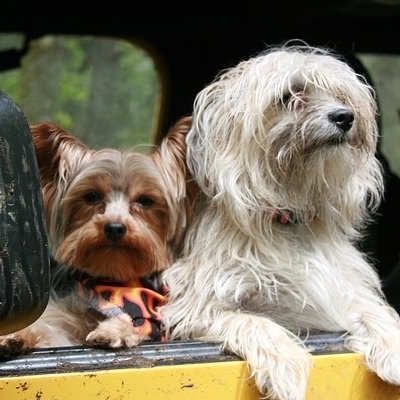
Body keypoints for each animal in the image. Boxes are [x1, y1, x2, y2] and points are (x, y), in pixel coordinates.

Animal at [160, 42, 400, 398]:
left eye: (341, 95)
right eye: (290, 96)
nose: (345, 116)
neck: (290, 216)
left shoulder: (339, 290)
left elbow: (372, 308)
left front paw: (393, 347)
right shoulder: (196, 306)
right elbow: (253, 320)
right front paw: (283, 362)